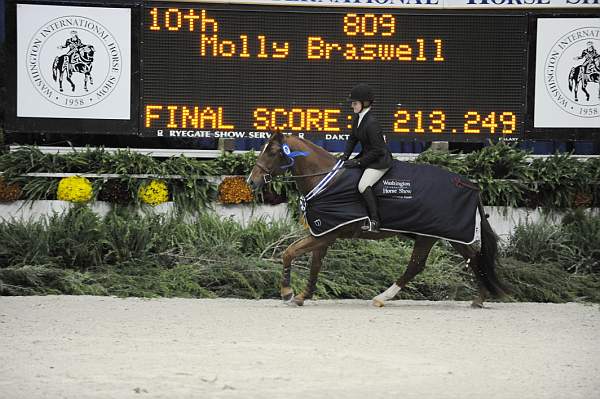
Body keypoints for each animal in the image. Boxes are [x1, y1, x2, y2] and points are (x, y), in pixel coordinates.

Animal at [245, 133, 506, 308]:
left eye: (273, 152)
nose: (251, 181)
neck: (326, 181)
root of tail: (468, 183)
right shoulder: (324, 232)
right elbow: (315, 264)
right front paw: (302, 296)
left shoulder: (326, 232)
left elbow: (289, 252)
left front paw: (287, 293)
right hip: (438, 235)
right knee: (462, 259)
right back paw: (478, 298)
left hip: (440, 234)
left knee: (429, 263)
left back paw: (383, 297)